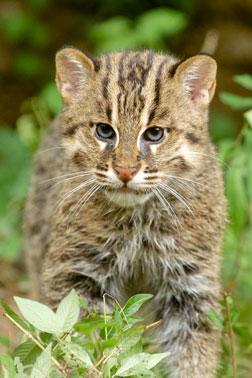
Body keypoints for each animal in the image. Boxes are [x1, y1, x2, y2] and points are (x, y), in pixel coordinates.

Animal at [24, 48, 226, 376]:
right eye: (104, 131)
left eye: (155, 134)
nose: (125, 171)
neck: (139, 220)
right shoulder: (77, 270)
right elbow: (82, 341)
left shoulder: (190, 280)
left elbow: (193, 350)